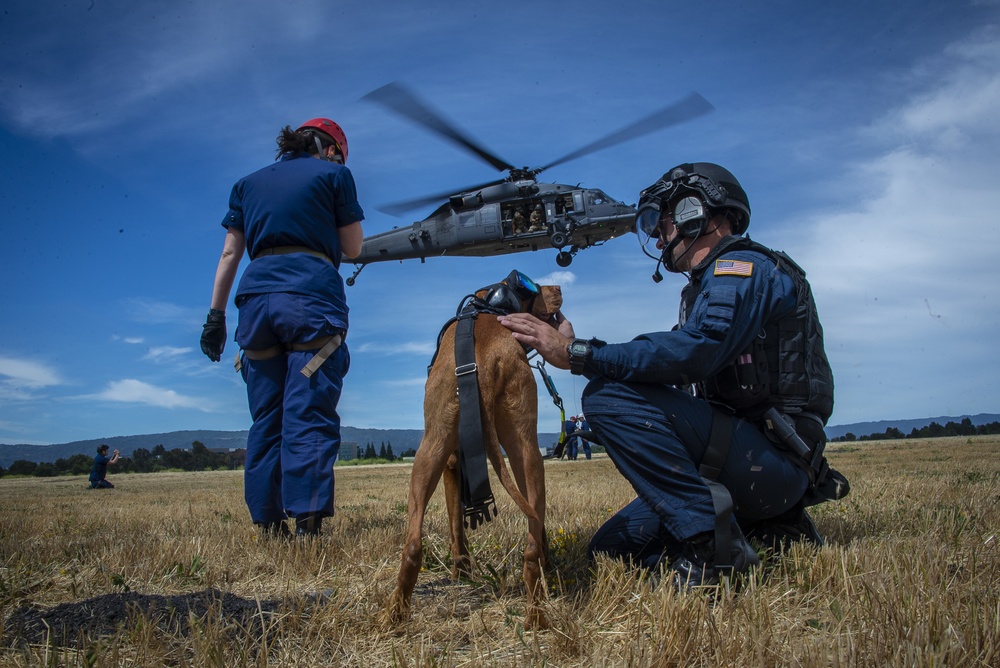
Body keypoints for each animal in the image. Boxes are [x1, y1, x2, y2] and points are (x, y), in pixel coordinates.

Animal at [384, 276, 564, 628]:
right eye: (534, 285)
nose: (560, 288)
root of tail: (482, 360)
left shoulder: (452, 465)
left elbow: (457, 527)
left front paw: (461, 573)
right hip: (524, 453)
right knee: (532, 542)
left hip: (434, 452)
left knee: (413, 544)